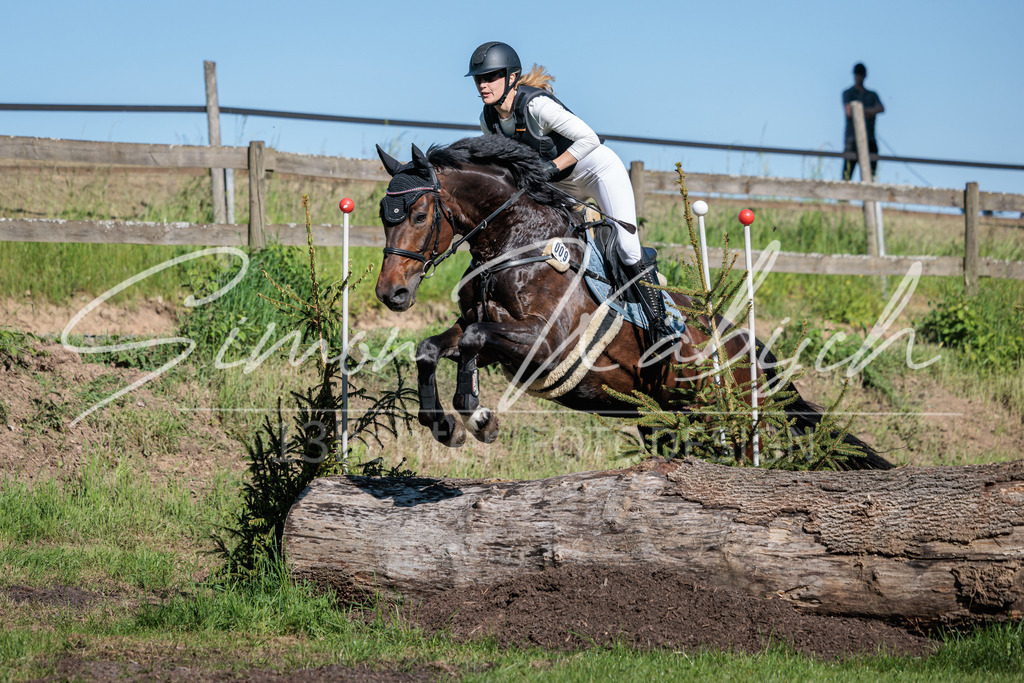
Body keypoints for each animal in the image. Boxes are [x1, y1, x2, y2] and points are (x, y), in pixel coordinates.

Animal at [373, 136, 893, 470]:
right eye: (384, 216)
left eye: (418, 215)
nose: (391, 293)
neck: (518, 243)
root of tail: (756, 353)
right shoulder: (483, 329)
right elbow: (433, 348)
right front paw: (447, 426)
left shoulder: (548, 345)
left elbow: (474, 341)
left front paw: (475, 414)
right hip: (666, 423)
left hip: (732, 420)